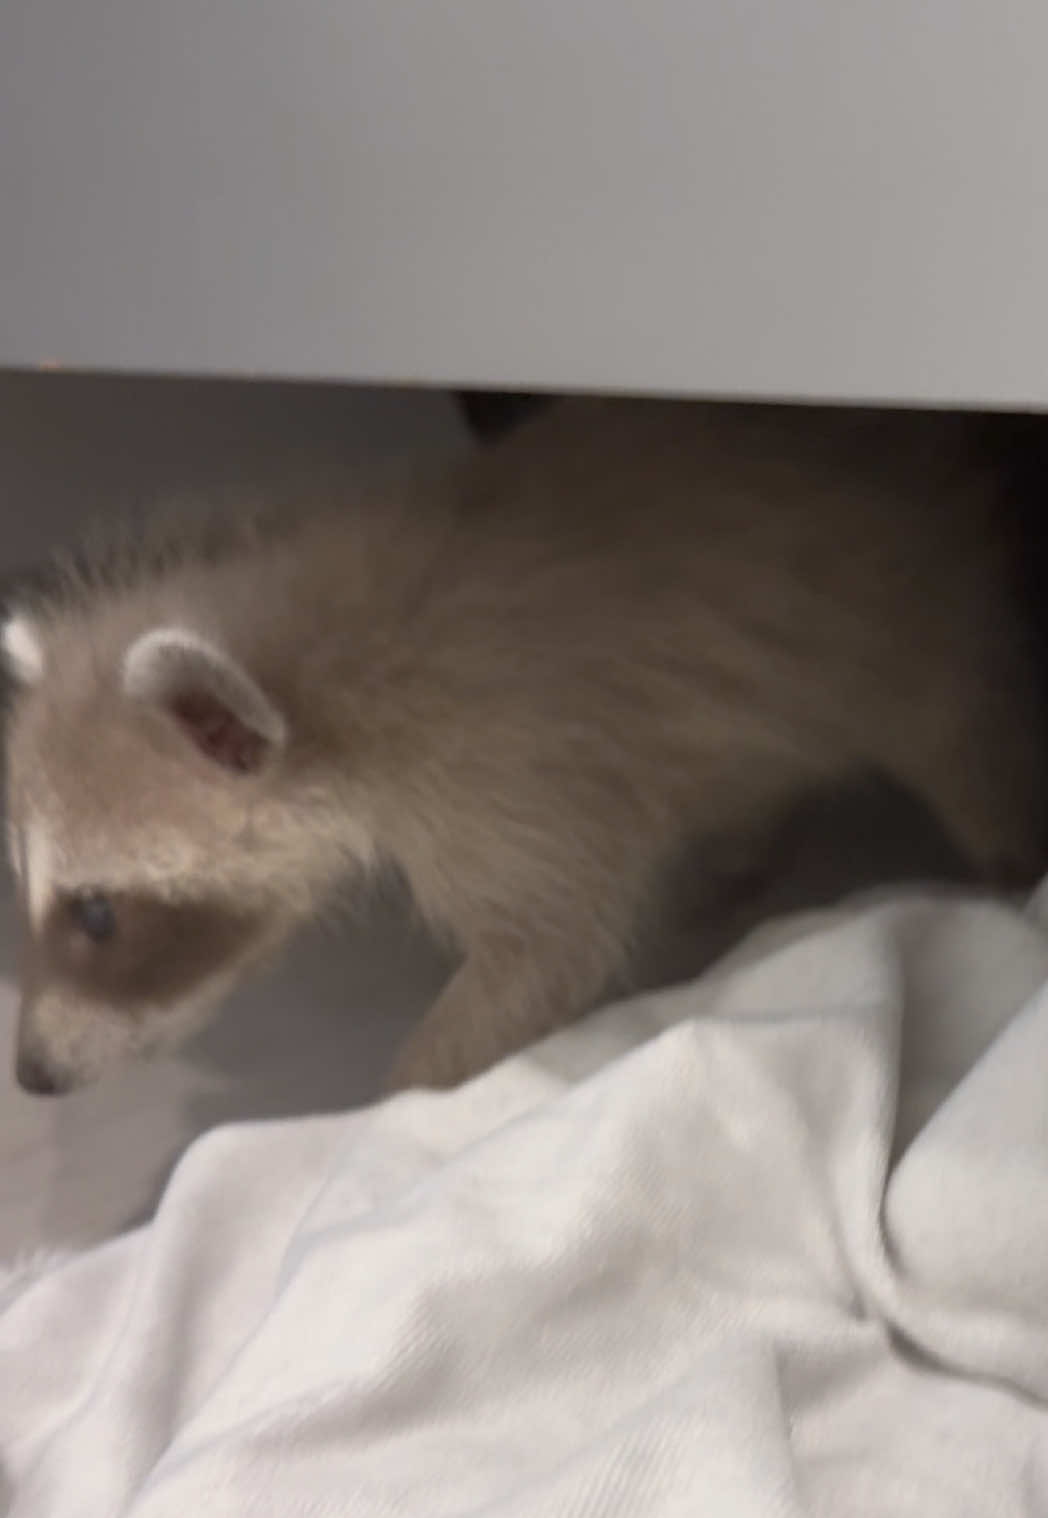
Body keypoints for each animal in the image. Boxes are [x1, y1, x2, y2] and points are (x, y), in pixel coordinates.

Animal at [4, 398, 1044, 1096]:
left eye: (97, 914)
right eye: (38, 893)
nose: (34, 1076)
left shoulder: (506, 766)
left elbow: (547, 948)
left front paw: (395, 1106)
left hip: (924, 619)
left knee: (967, 747)